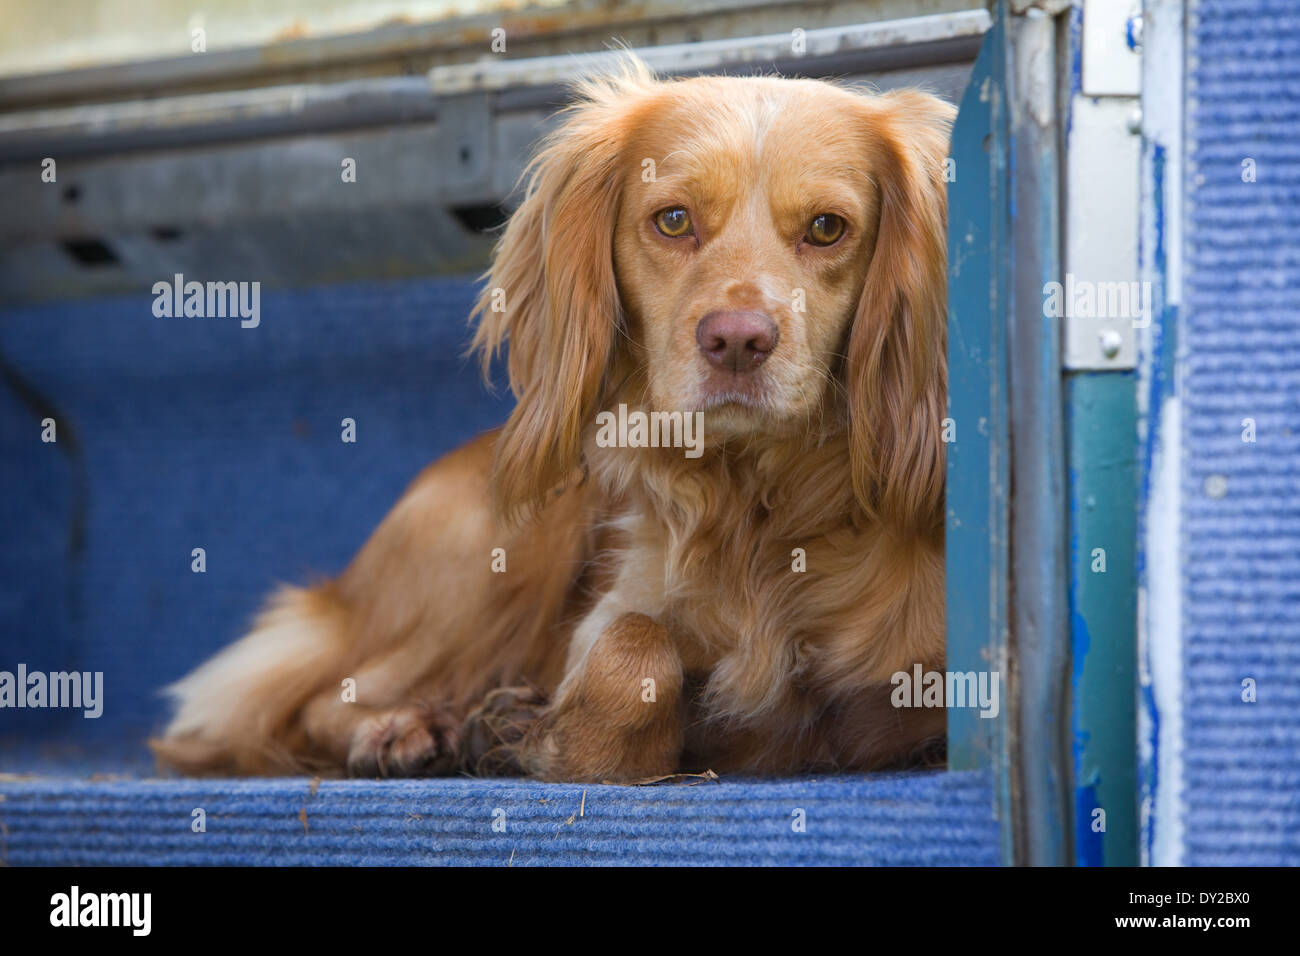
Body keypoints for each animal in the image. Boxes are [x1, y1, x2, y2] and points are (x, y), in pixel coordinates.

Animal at [152, 59, 956, 780]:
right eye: (672, 220)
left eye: (827, 228)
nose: (736, 341)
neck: (757, 505)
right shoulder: (612, 614)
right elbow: (634, 649)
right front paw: (555, 738)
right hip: (501, 544)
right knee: (321, 697)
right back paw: (403, 729)